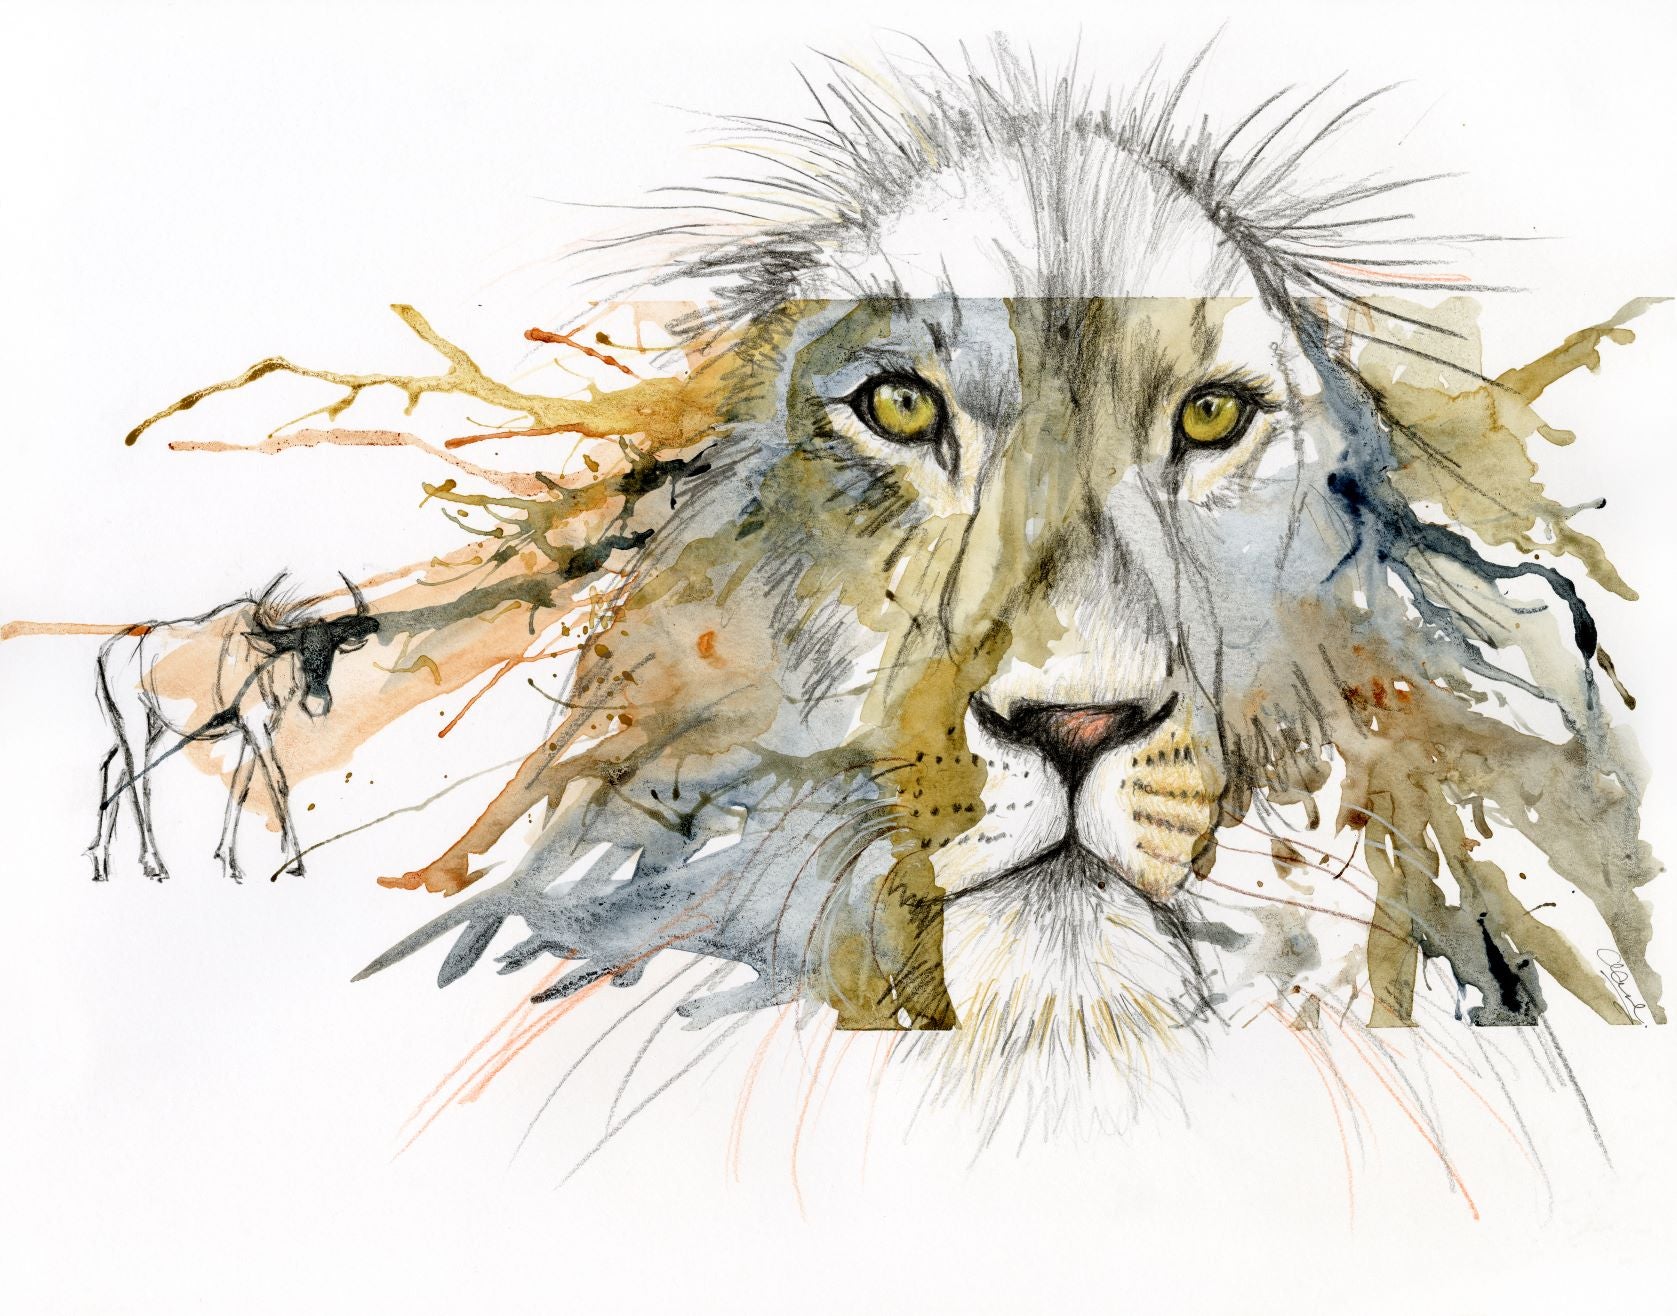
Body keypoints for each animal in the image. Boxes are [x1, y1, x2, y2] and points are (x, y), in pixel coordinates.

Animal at [90, 574, 379, 882]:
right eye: (298, 648)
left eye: (332, 648)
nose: (317, 703)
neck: (262, 659)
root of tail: (107, 650)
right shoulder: (257, 728)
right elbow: (278, 782)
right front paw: (293, 862)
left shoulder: (252, 731)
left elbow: (241, 786)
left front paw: (229, 861)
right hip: (134, 722)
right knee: (137, 778)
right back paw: (153, 863)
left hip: (152, 726)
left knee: (114, 767)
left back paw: (101, 862)